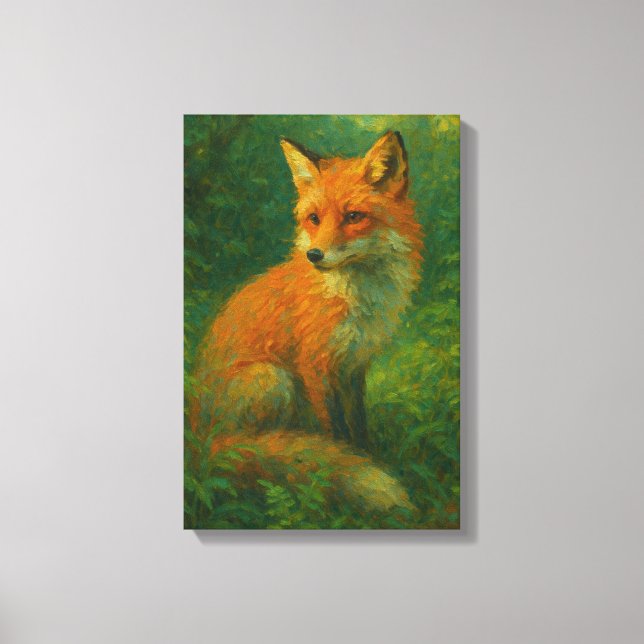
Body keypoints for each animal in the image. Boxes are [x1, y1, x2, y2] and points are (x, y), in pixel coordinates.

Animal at [189, 131, 423, 513]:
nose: (315, 255)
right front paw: (331, 471)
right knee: (251, 445)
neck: (355, 298)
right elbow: (335, 430)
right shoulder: (315, 366)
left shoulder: (354, 365)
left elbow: (358, 424)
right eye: (314, 218)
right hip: (272, 377)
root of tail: (197, 441)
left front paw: (368, 456)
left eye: (354, 216)